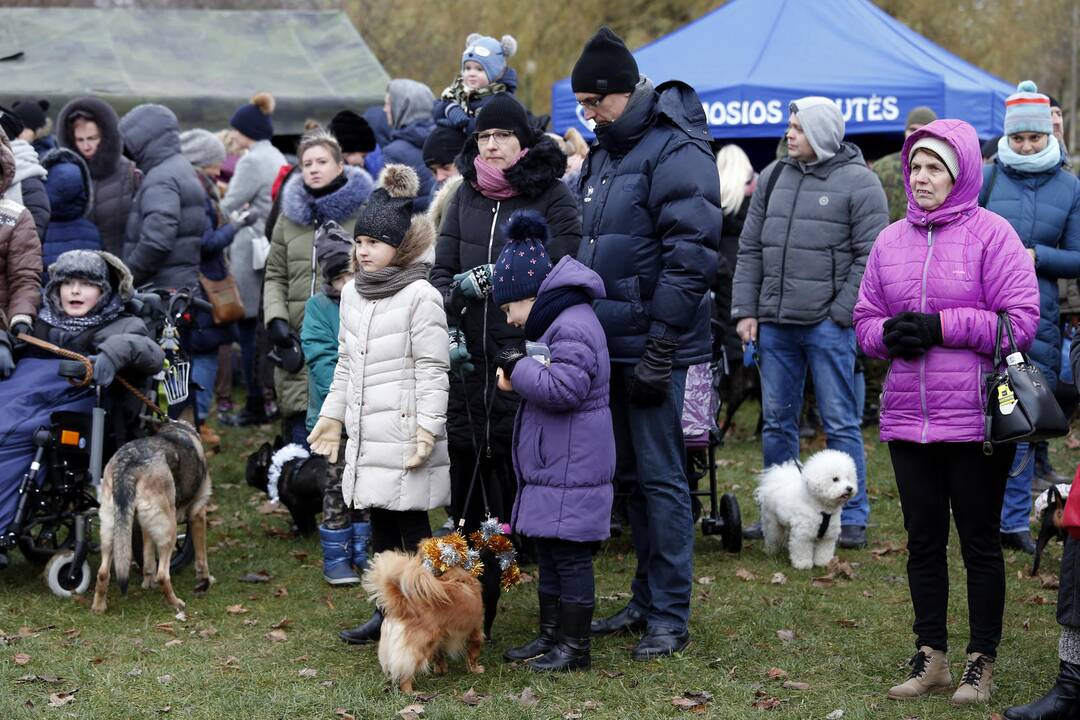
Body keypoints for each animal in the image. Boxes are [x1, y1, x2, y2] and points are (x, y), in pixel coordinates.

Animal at [91, 423, 213, 613]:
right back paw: (176, 603)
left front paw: (148, 584)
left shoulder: (145, 526)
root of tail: (128, 466)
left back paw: (98, 607)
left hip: (111, 531)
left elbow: (148, 561)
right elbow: (201, 559)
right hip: (169, 531)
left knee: (103, 573)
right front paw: (204, 582)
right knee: (163, 574)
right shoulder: (198, 513)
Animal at [362, 552, 486, 690]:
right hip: (421, 644)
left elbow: (439, 655)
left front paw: (441, 670)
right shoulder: (476, 631)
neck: (457, 579)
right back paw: (410, 691)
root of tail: (404, 605)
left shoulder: (441, 637)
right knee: (406, 672)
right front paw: (476, 670)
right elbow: (473, 655)